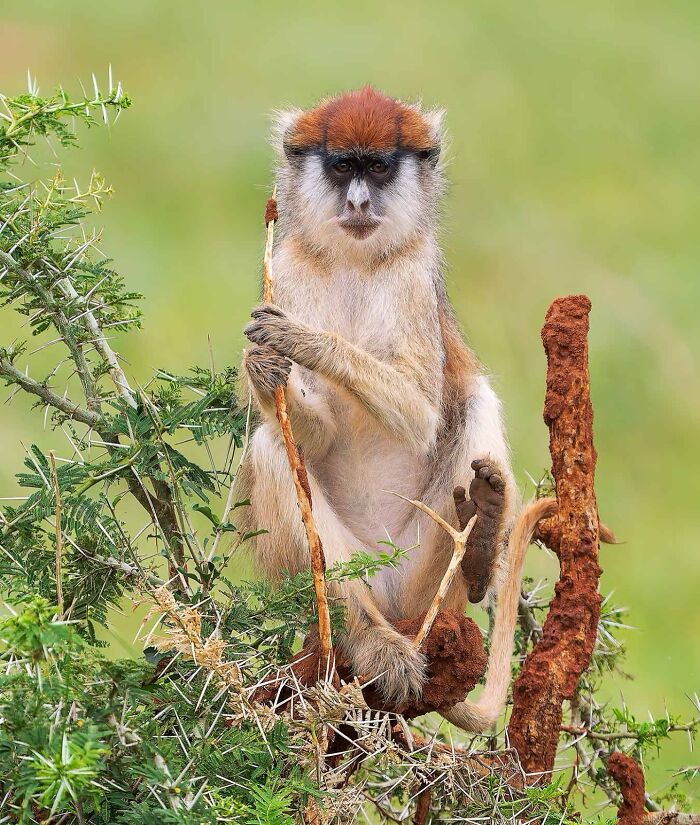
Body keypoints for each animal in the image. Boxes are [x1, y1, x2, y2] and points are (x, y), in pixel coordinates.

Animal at [236, 87, 546, 732]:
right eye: (341, 167)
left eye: (378, 168)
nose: (358, 200)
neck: (353, 262)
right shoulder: (289, 265)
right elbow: (309, 436)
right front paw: (261, 367)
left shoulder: (414, 272)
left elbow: (422, 415)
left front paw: (301, 340)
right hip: (348, 578)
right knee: (272, 449)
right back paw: (369, 639)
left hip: (419, 576)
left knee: (474, 399)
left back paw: (482, 536)